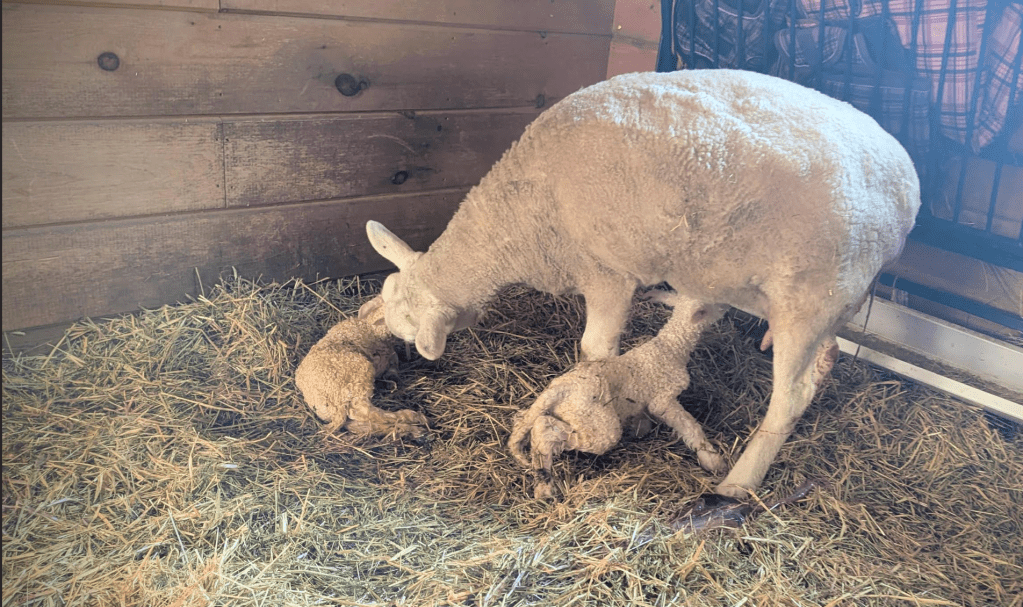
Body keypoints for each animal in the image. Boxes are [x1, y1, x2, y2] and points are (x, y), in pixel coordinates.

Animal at [295, 296, 428, 439]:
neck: (370, 328)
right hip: (358, 375)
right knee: (365, 412)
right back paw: (414, 417)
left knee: (360, 424)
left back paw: (411, 430)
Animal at [508, 290, 728, 498]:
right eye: (713, 303)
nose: (725, 310)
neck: (670, 347)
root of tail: (559, 389)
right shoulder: (663, 398)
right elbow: (690, 426)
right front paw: (712, 459)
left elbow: (643, 420)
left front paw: (639, 430)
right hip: (598, 424)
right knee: (545, 429)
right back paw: (545, 486)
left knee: (527, 422)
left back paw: (542, 483)